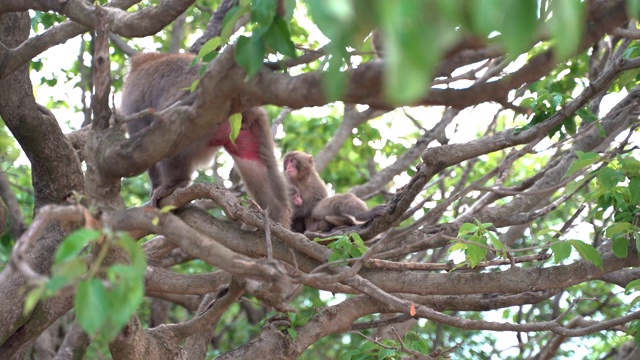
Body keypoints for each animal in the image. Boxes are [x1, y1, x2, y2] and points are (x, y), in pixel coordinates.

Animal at [121, 52, 292, 228]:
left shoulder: (133, 103)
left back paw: (175, 183)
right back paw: (277, 217)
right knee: (257, 166)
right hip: (250, 122)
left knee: (170, 130)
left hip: (199, 120)